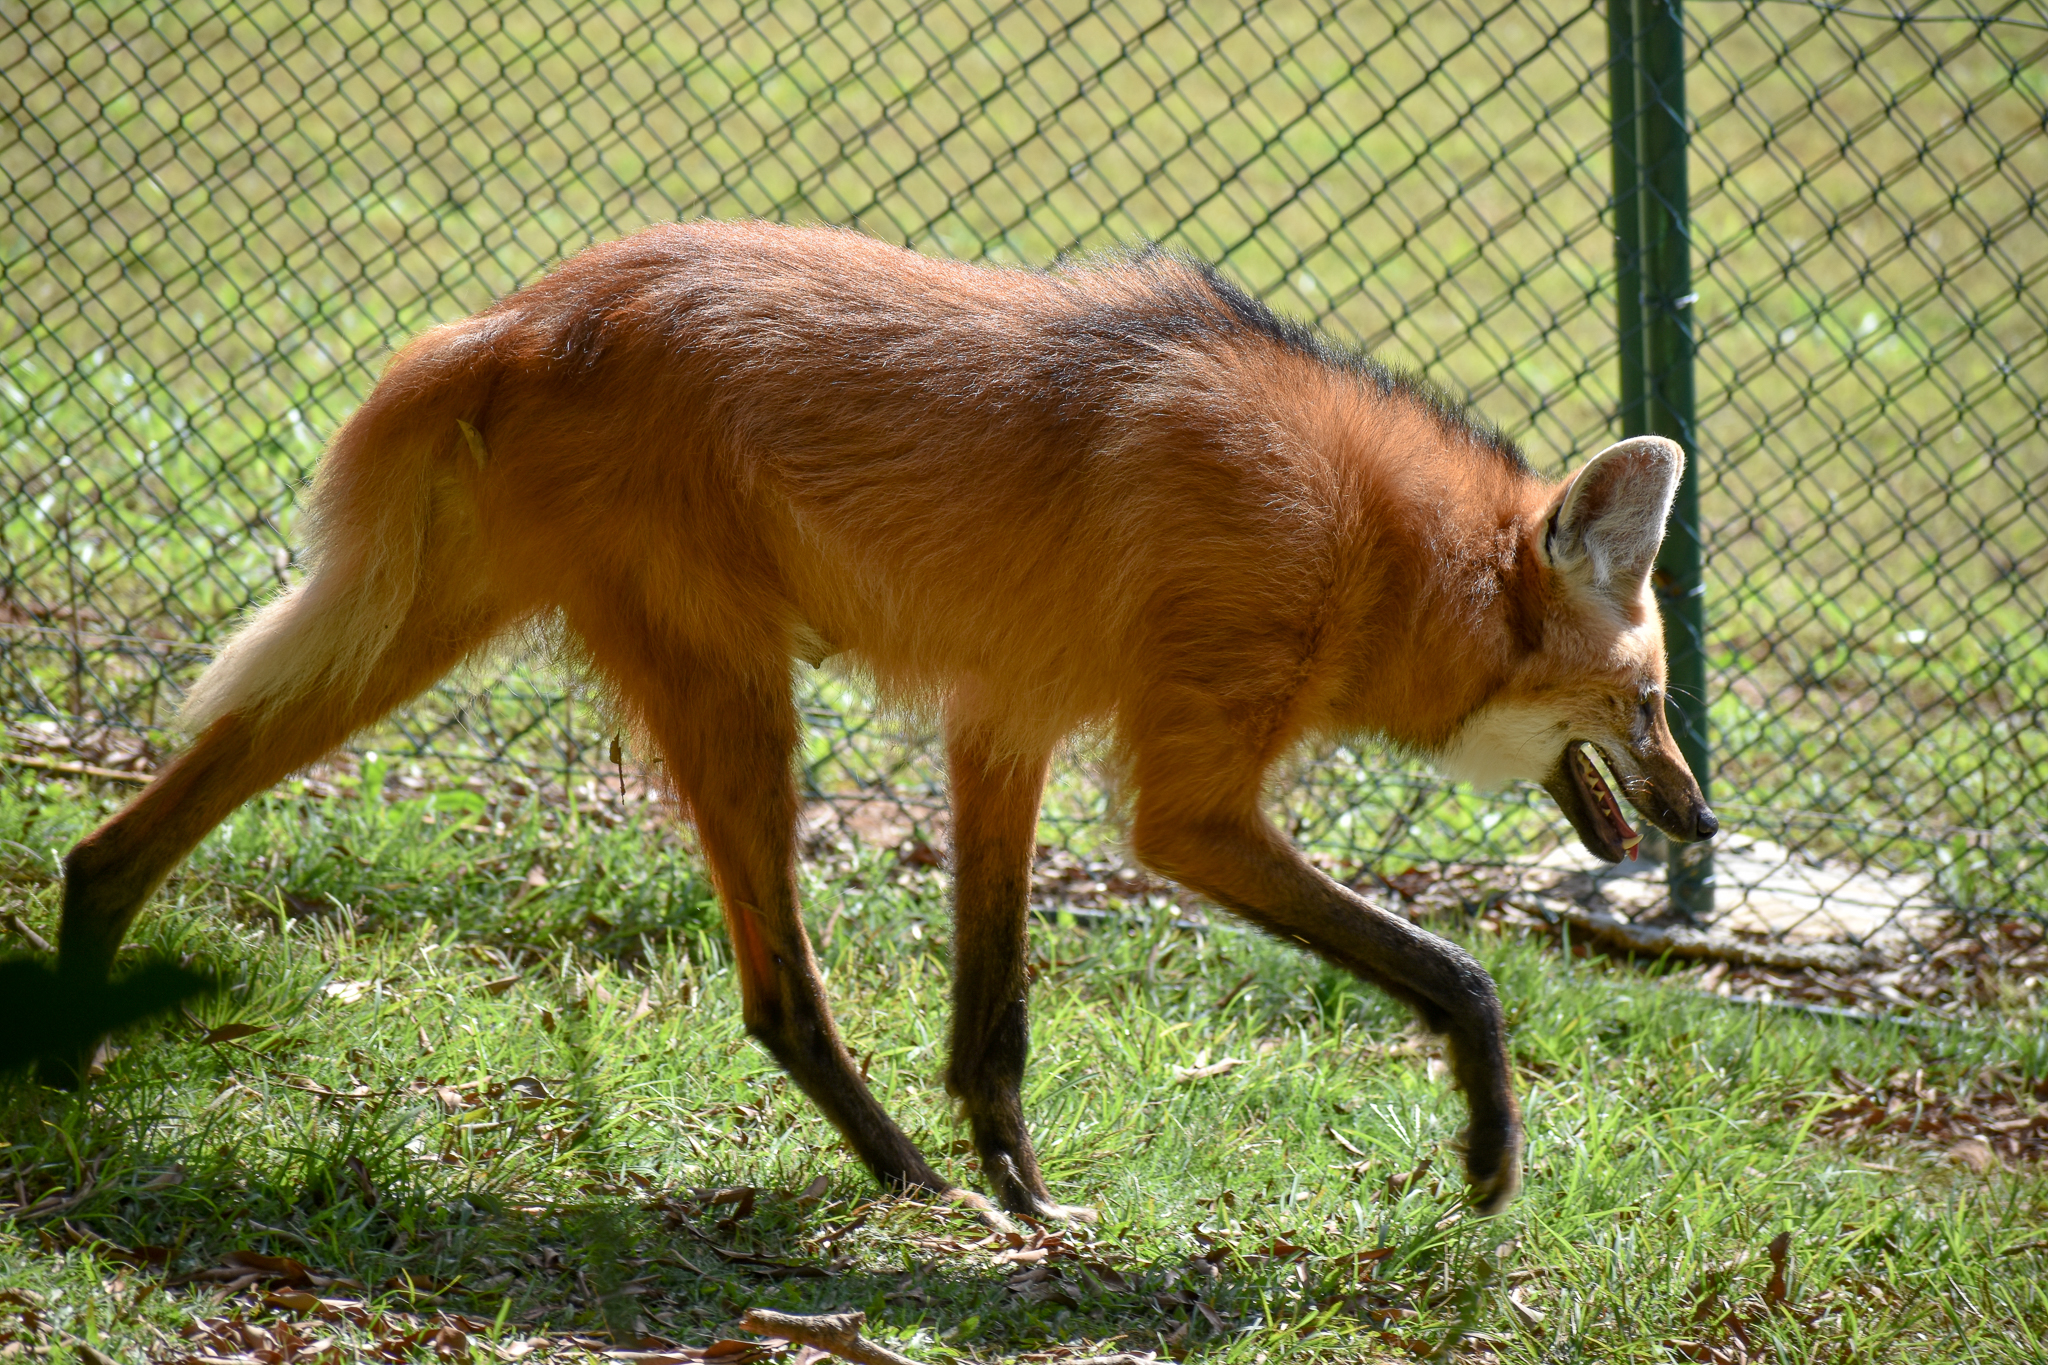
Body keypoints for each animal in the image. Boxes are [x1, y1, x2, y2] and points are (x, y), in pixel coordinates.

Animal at [48, 220, 1715, 1217]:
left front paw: (1025, 1190)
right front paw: (1491, 1156)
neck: (1372, 547)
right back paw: (901, 1177)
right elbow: (1460, 973)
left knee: (117, 840)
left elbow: (997, 1016)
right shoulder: (1185, 808)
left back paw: (63, 1059)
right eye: (1647, 700)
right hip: (733, 692)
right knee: (777, 994)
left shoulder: (1005, 726)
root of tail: (521, 312)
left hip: (417, 635)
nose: (1701, 817)